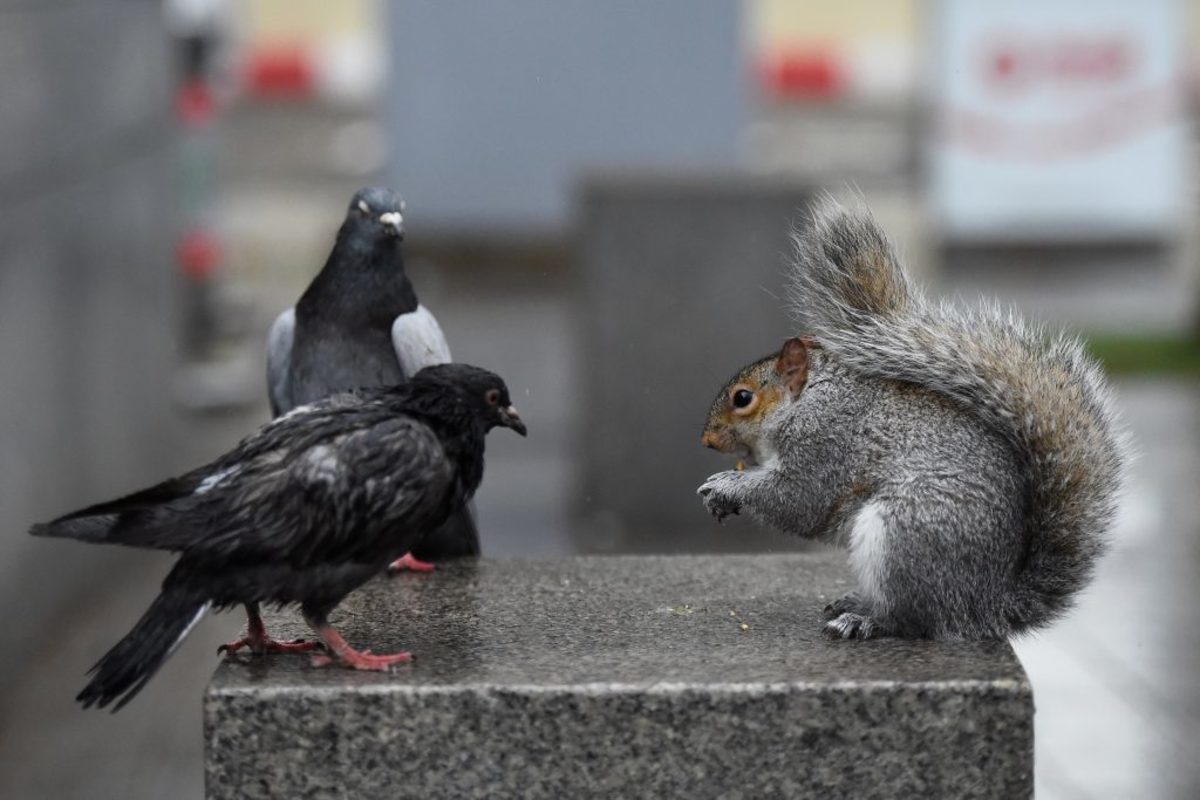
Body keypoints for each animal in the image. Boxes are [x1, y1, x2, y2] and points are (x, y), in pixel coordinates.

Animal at [700, 203, 1128, 642]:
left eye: (743, 398)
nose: (707, 440)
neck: (806, 402)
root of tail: (985, 607)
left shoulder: (824, 444)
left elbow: (798, 499)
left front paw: (725, 485)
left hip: (903, 534)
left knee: (912, 619)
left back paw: (865, 619)